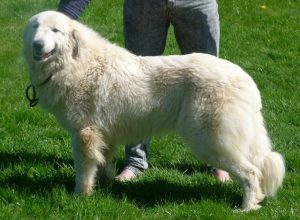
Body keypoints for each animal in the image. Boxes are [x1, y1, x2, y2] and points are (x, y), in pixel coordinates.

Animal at [22, 10, 284, 211]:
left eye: (55, 30)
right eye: (36, 26)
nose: (37, 44)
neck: (76, 63)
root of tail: (246, 79)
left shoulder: (85, 134)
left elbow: (83, 170)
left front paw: (80, 195)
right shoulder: (105, 134)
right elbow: (104, 163)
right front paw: (106, 186)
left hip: (212, 140)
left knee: (251, 173)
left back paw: (246, 208)